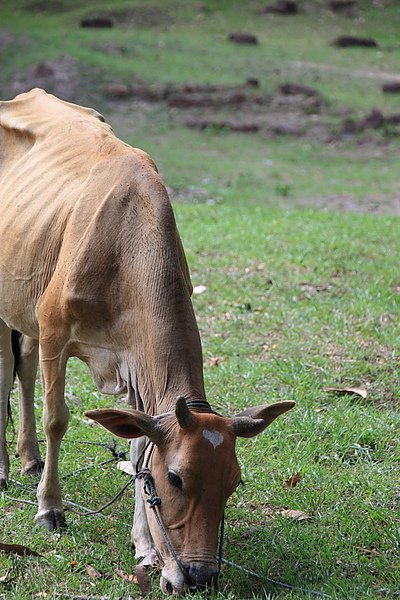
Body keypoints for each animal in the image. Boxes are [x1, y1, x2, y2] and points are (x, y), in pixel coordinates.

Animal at [0, 89, 294, 596]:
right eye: (175, 479)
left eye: (233, 483)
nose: (198, 576)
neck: (124, 253)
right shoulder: (56, 332)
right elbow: (58, 419)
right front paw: (49, 508)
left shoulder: (135, 366)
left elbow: (139, 448)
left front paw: (145, 547)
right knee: (5, 370)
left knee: (24, 366)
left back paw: (29, 459)